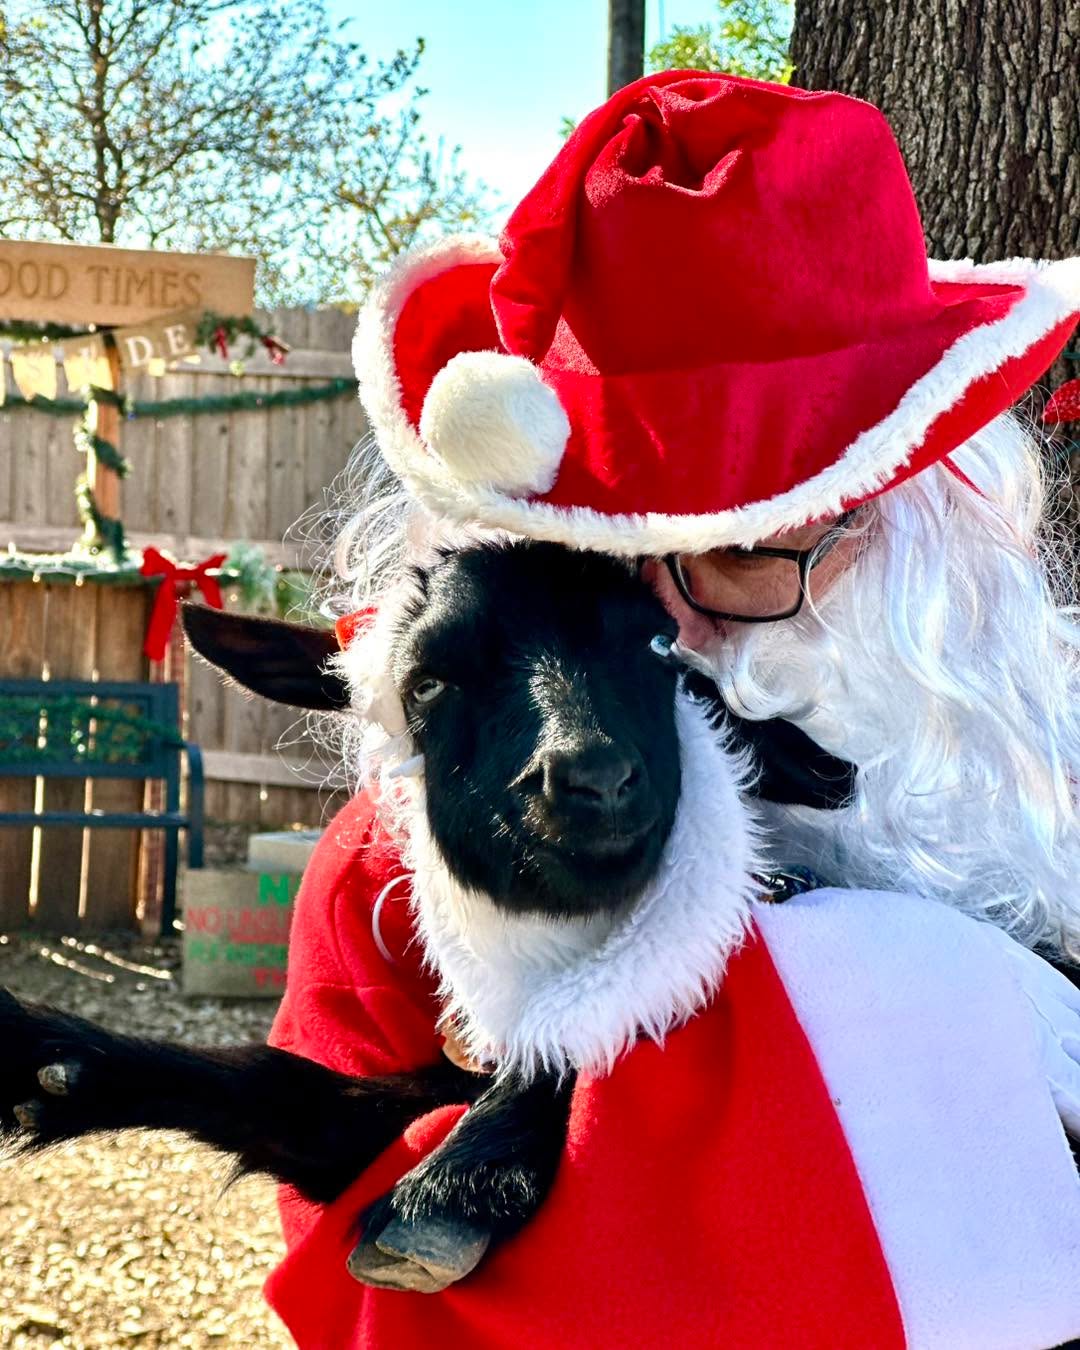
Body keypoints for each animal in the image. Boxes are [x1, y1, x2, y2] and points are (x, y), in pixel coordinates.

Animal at [0, 540, 855, 1294]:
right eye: (427, 684)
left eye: (658, 644)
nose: (597, 777)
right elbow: (295, 1094)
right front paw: (56, 1065)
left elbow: (583, 1021)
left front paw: (452, 1186)